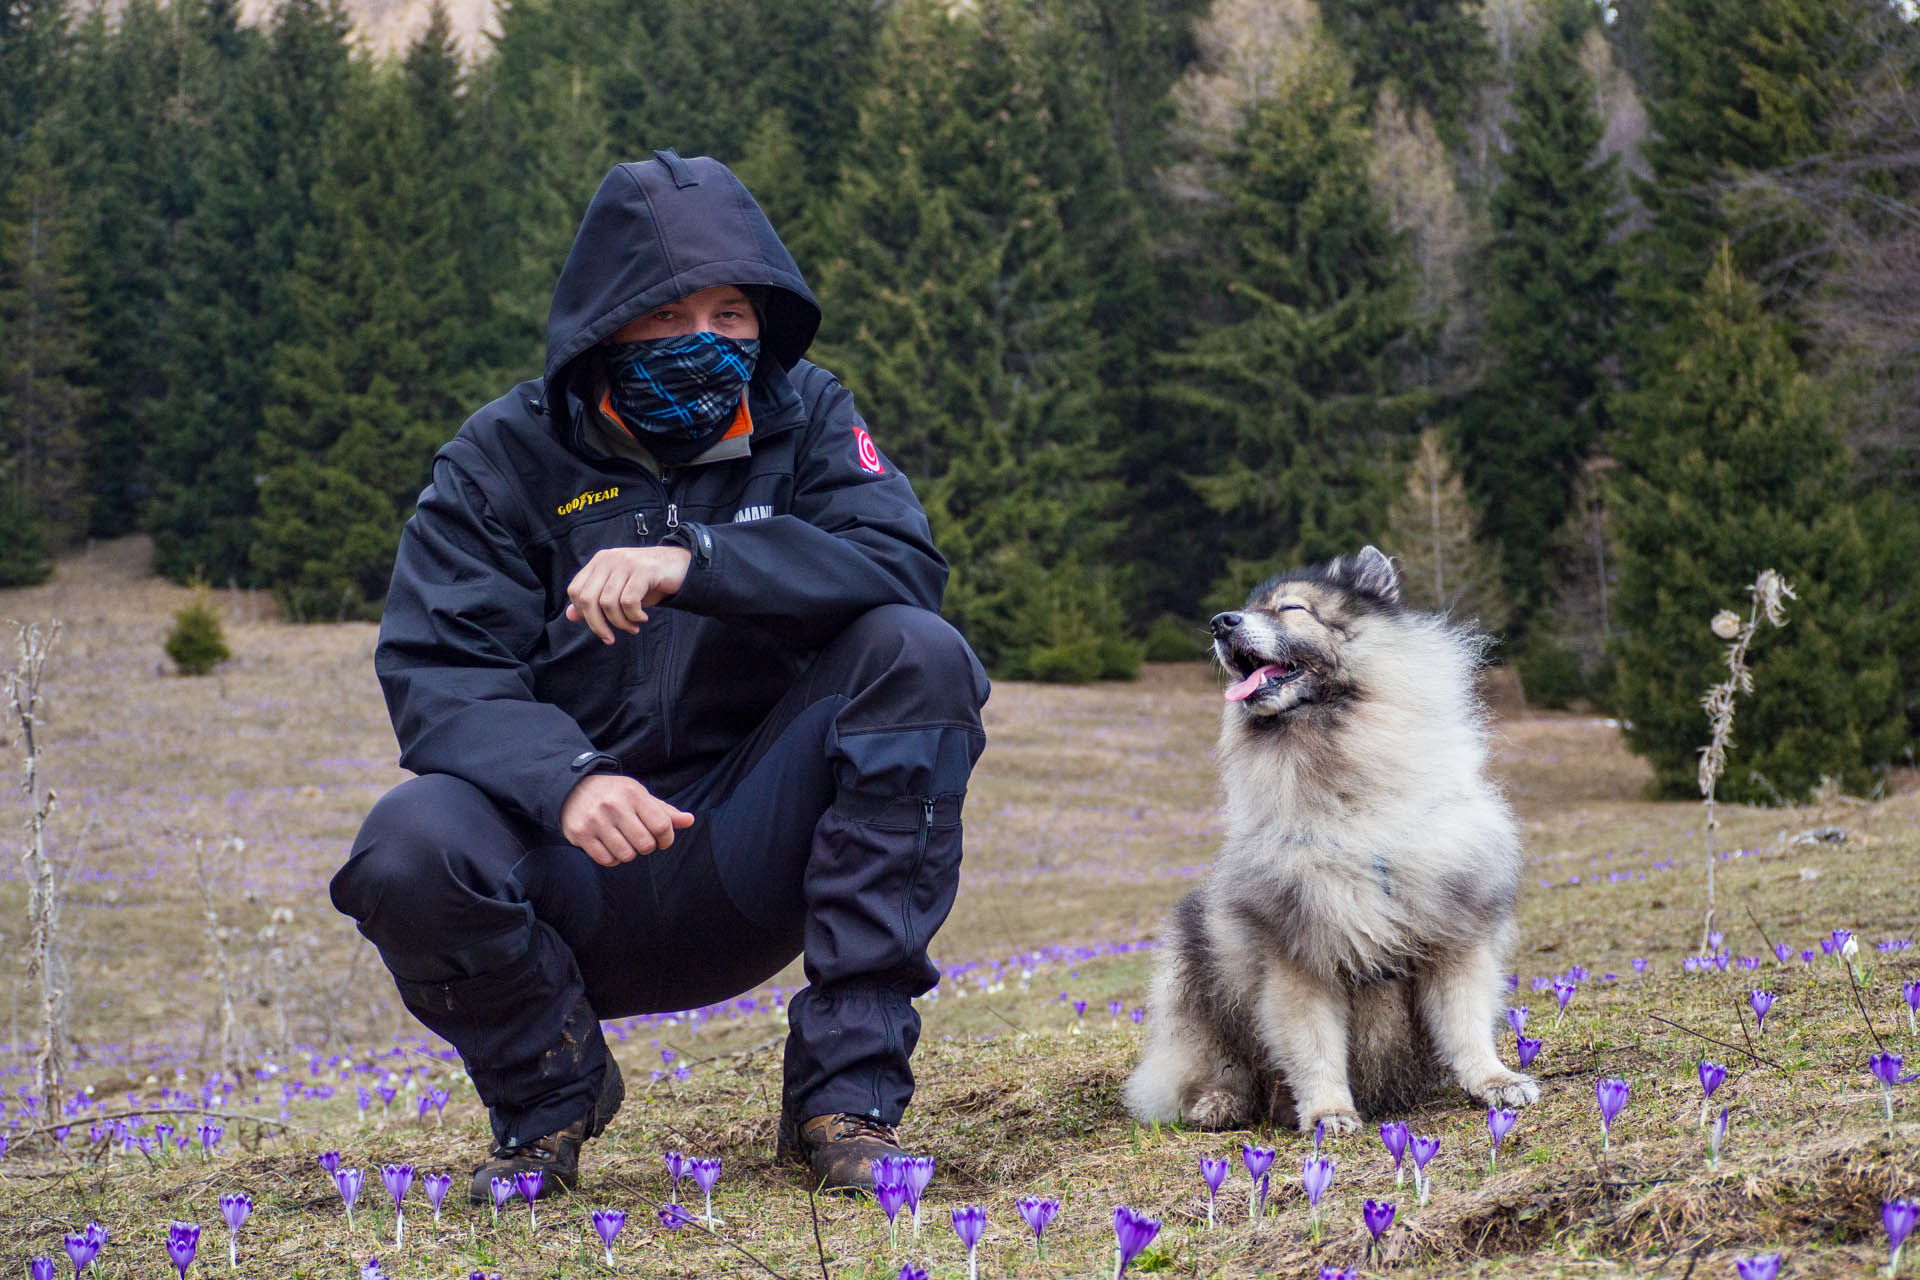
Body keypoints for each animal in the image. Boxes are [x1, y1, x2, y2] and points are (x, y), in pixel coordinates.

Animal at [1121, 545, 1543, 1136]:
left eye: (1292, 609)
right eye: (1245, 608)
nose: (1220, 622)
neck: (1350, 800)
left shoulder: (1452, 937)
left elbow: (1466, 1025)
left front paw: (1495, 1081)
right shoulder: (1299, 955)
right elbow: (1314, 1047)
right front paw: (1329, 1113)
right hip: (1199, 969)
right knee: (1217, 1063)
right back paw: (1219, 1103)